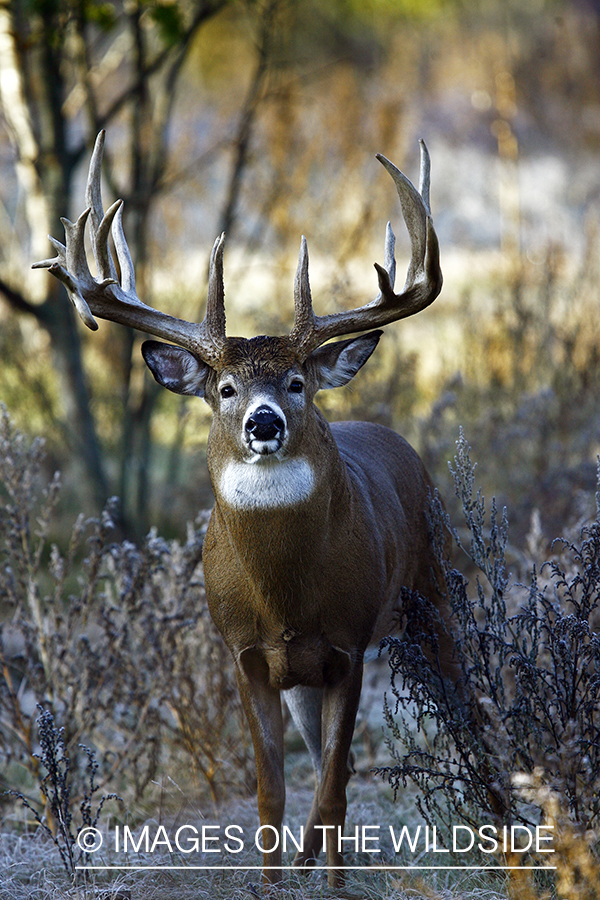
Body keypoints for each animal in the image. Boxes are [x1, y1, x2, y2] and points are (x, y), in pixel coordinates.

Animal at [35, 130, 462, 888]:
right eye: (226, 388)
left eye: (296, 382)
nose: (265, 423)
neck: (285, 594)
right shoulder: (246, 654)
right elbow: (271, 790)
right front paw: (273, 882)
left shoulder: (348, 645)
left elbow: (334, 785)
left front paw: (337, 891)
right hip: (305, 675)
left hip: (433, 590)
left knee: (466, 712)